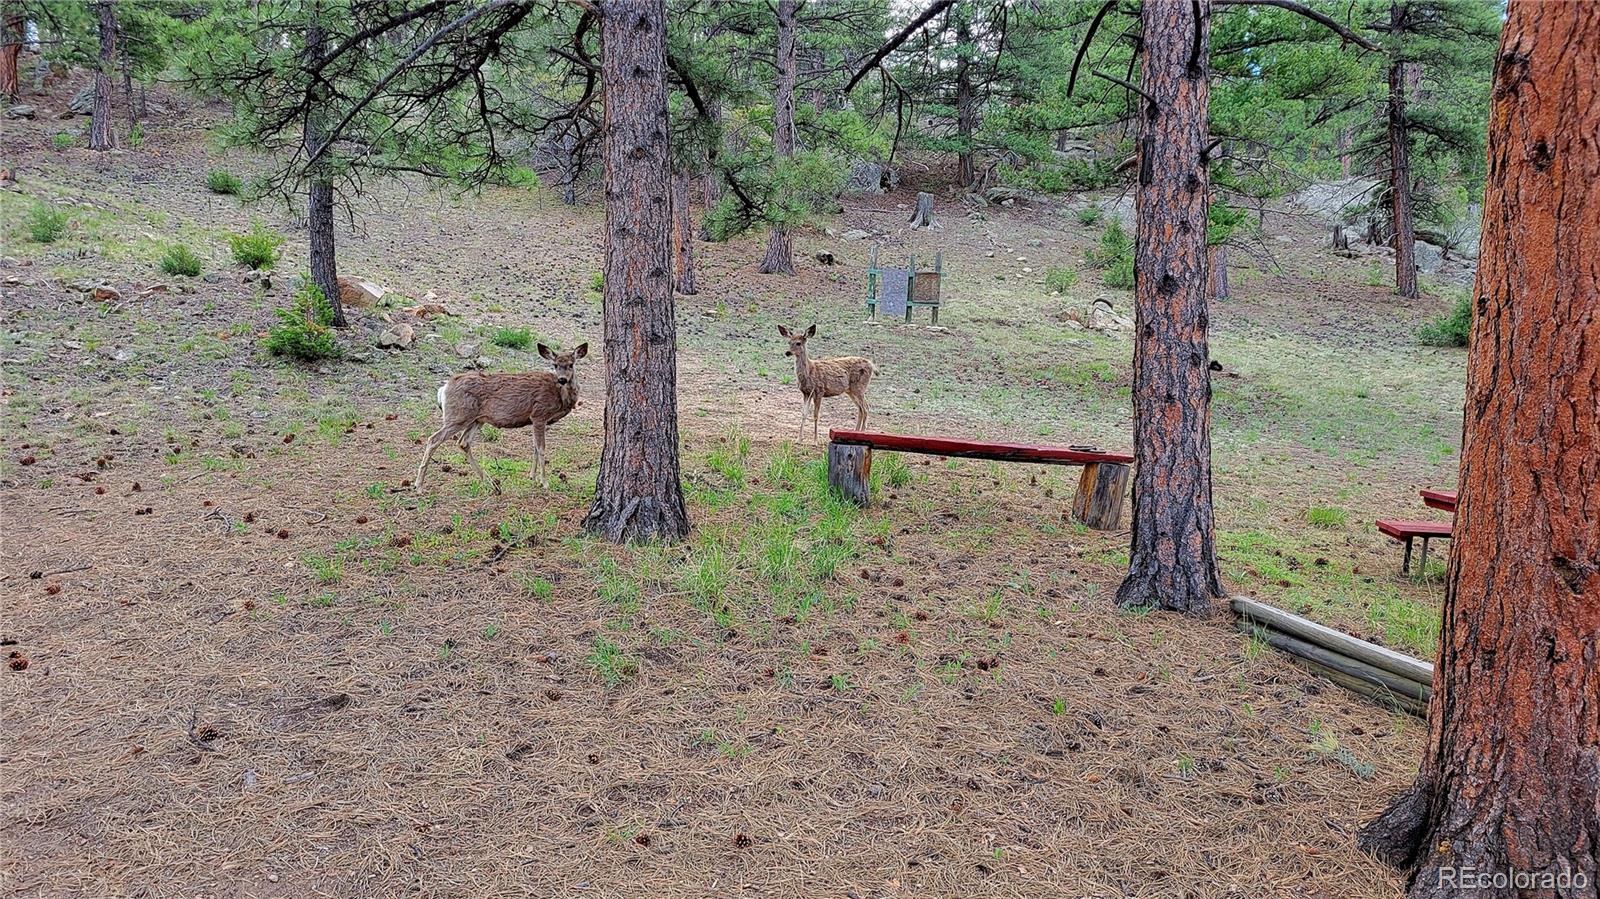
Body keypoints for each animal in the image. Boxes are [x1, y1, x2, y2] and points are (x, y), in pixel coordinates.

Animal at [412, 340, 588, 492]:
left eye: (571, 364)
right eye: (555, 365)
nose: (562, 379)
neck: (559, 396)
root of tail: (444, 388)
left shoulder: (534, 419)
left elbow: (534, 448)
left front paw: (532, 476)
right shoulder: (539, 414)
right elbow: (541, 448)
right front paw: (544, 482)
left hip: (476, 419)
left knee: (463, 443)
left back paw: (489, 482)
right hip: (458, 416)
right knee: (433, 439)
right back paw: (419, 485)